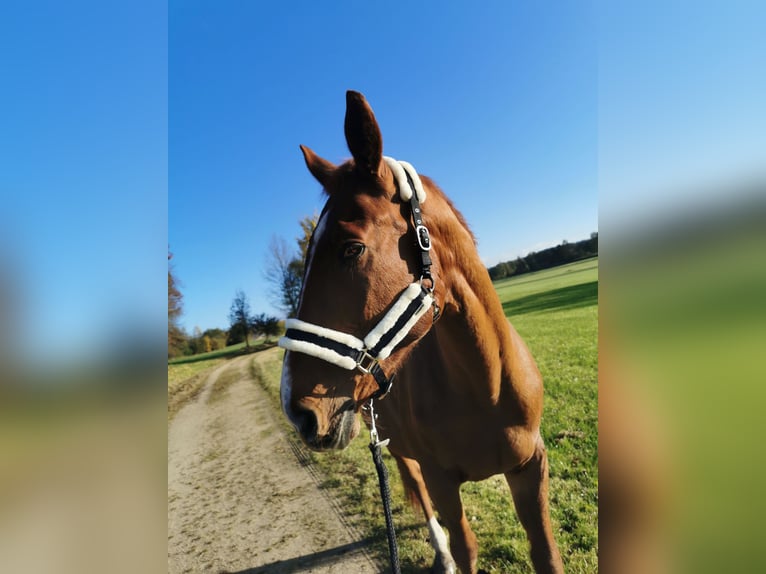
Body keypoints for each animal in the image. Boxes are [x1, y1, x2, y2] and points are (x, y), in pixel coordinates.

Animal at [280, 92, 564, 572]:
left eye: (351, 249)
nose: (296, 411)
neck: (487, 386)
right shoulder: (442, 480)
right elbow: (464, 544)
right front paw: (450, 554)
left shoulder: (531, 469)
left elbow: (545, 553)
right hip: (398, 450)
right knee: (418, 493)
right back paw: (441, 553)